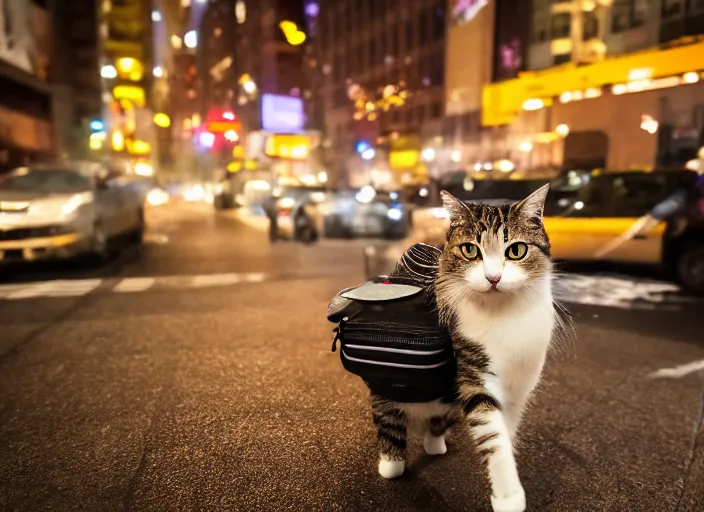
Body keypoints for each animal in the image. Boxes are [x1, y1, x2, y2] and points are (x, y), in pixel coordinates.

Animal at [372, 185, 564, 512]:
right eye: (470, 250)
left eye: (516, 250)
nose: (493, 278)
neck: (504, 315)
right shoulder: (474, 372)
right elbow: (493, 436)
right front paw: (508, 495)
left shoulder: (520, 385)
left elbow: (507, 431)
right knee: (388, 416)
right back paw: (391, 462)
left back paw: (434, 444)